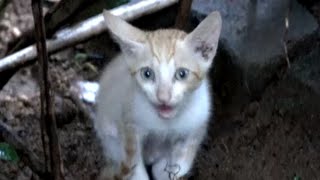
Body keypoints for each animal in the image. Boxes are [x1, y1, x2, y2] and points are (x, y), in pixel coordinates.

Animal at [94, 10, 221, 180]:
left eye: (182, 74)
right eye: (147, 74)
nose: (163, 97)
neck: (165, 125)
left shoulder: (198, 123)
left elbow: (183, 159)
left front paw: (170, 169)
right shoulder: (130, 125)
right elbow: (135, 167)